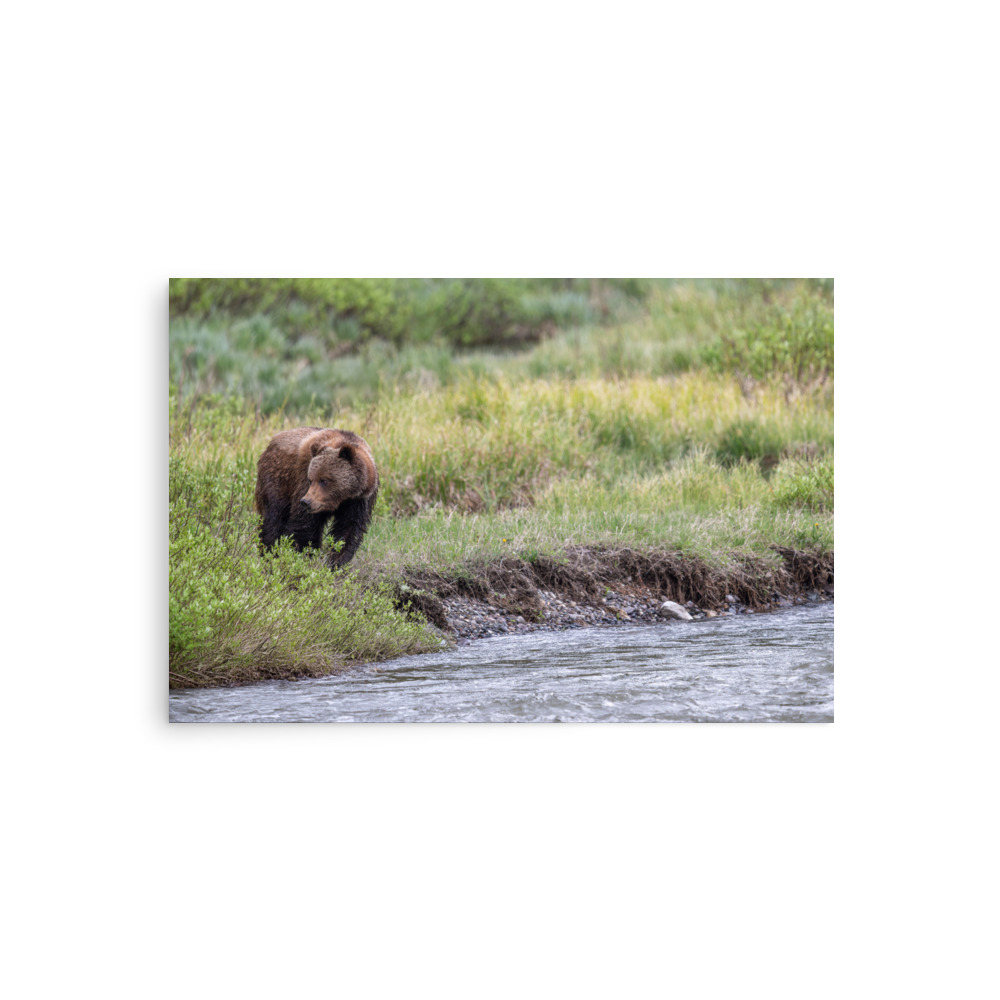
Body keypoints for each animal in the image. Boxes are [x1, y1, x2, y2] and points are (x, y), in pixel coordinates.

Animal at [254, 427, 379, 568]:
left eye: (324, 480)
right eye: (311, 479)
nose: (306, 502)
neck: (342, 498)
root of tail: (271, 442)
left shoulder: (359, 501)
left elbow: (348, 530)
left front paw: (336, 562)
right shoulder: (303, 481)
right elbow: (305, 526)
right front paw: (303, 557)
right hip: (277, 481)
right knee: (273, 519)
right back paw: (269, 554)